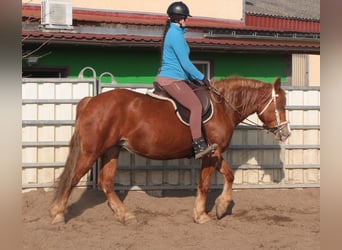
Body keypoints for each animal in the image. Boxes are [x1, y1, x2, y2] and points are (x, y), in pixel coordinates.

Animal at [50, 76, 292, 225]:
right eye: (280, 104)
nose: (286, 133)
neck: (222, 106)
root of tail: (92, 100)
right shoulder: (211, 154)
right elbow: (205, 184)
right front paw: (203, 214)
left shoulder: (214, 153)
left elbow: (229, 175)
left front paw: (220, 207)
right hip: (91, 152)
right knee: (73, 178)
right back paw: (58, 214)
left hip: (112, 150)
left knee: (106, 182)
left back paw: (124, 214)